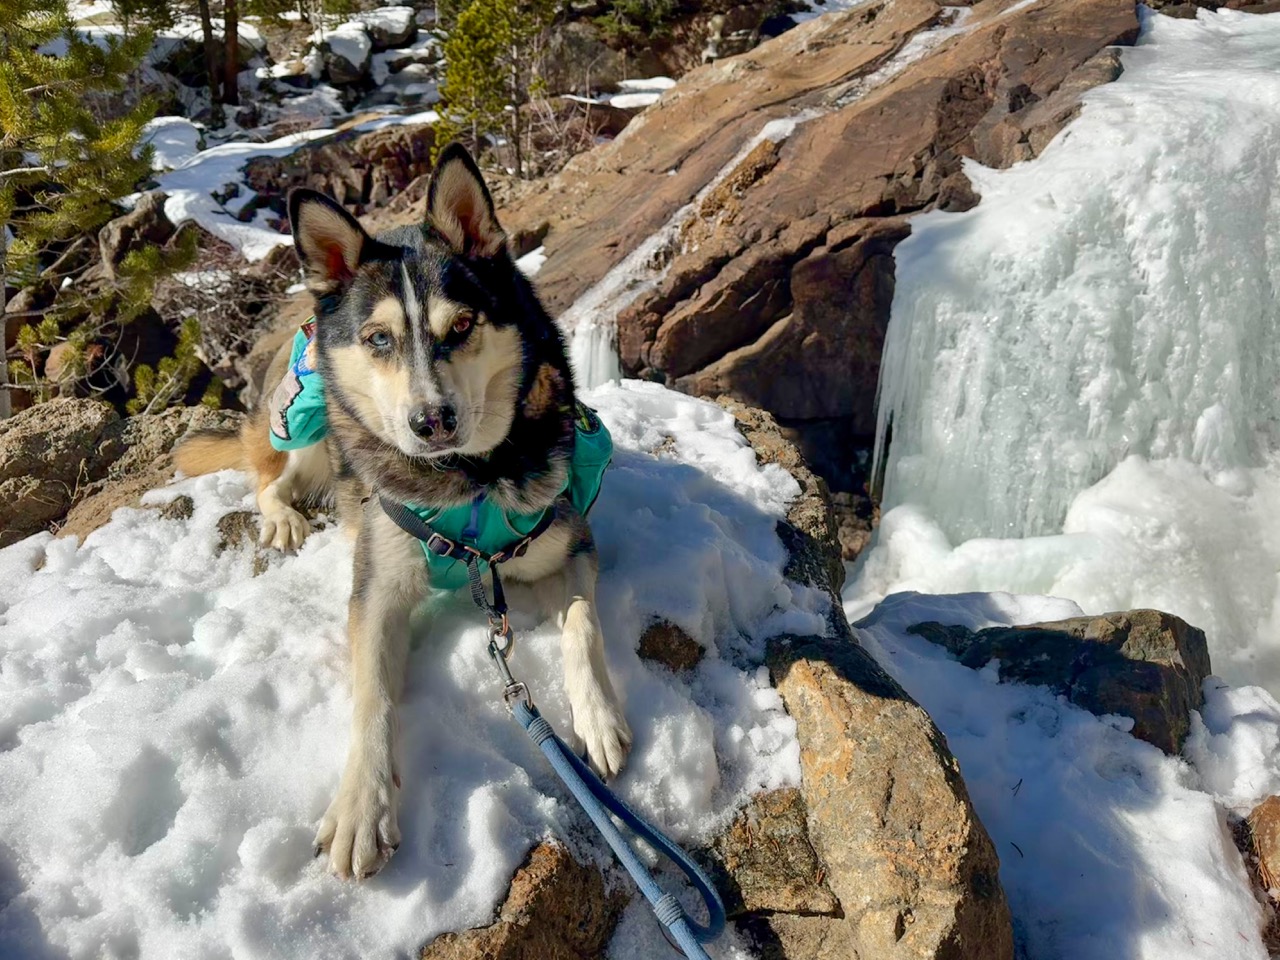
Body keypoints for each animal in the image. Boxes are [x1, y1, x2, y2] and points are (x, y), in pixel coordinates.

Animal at [172, 140, 632, 880]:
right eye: (379, 339)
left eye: (464, 325)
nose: (431, 421)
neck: (469, 482)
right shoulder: (378, 589)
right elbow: (372, 698)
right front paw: (362, 806)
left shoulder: (570, 537)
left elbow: (582, 624)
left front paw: (596, 716)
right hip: (306, 422)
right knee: (267, 474)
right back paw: (284, 517)